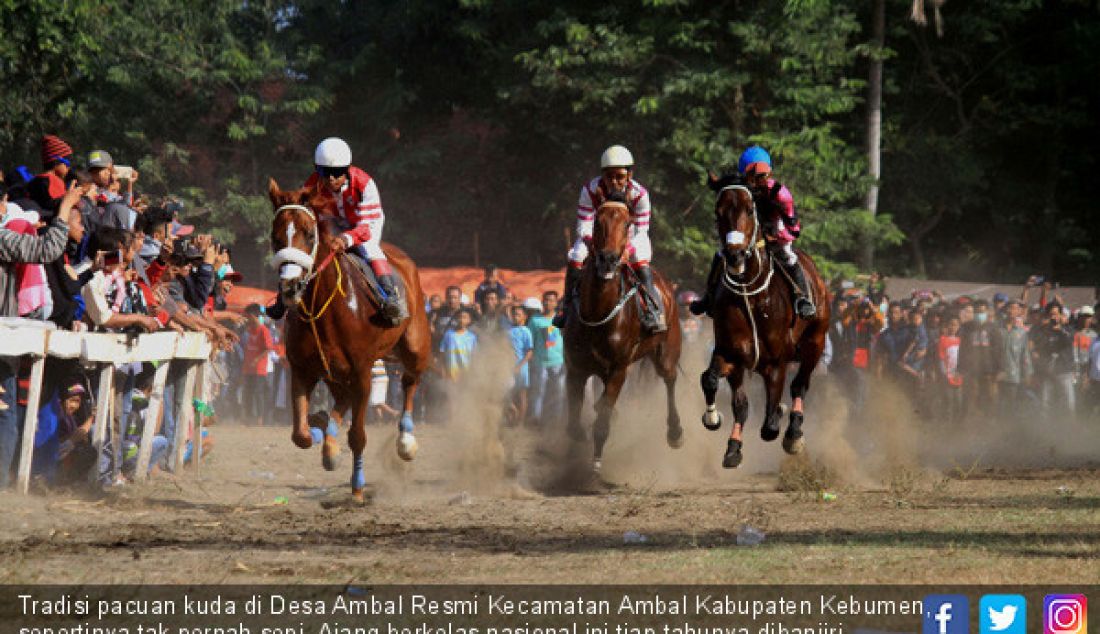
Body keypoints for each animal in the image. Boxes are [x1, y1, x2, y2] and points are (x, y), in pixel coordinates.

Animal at [268, 178, 431, 499]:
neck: (323, 309)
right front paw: (321, 432)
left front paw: (357, 487)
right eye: (275, 236)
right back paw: (327, 435)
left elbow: (357, 436)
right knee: (341, 398)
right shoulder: (301, 369)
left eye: (309, 233)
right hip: (334, 370)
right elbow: (300, 435)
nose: (290, 287)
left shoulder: (362, 371)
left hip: (415, 346)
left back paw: (405, 440)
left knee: (409, 381)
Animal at [563, 200, 682, 473]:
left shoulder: (619, 369)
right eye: (597, 221)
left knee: (670, 379)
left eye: (627, 224)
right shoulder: (575, 368)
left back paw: (675, 432)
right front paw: (581, 435)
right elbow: (574, 423)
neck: (598, 315)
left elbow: (602, 421)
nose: (608, 259)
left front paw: (596, 461)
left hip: (666, 350)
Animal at [699, 173, 827, 466]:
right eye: (718, 212)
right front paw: (720, 428)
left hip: (815, 341)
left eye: (749, 209)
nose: (734, 255)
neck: (751, 293)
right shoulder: (732, 355)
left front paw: (781, 419)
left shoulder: (776, 362)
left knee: (799, 386)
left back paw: (793, 433)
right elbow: (716, 385)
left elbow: (769, 425)